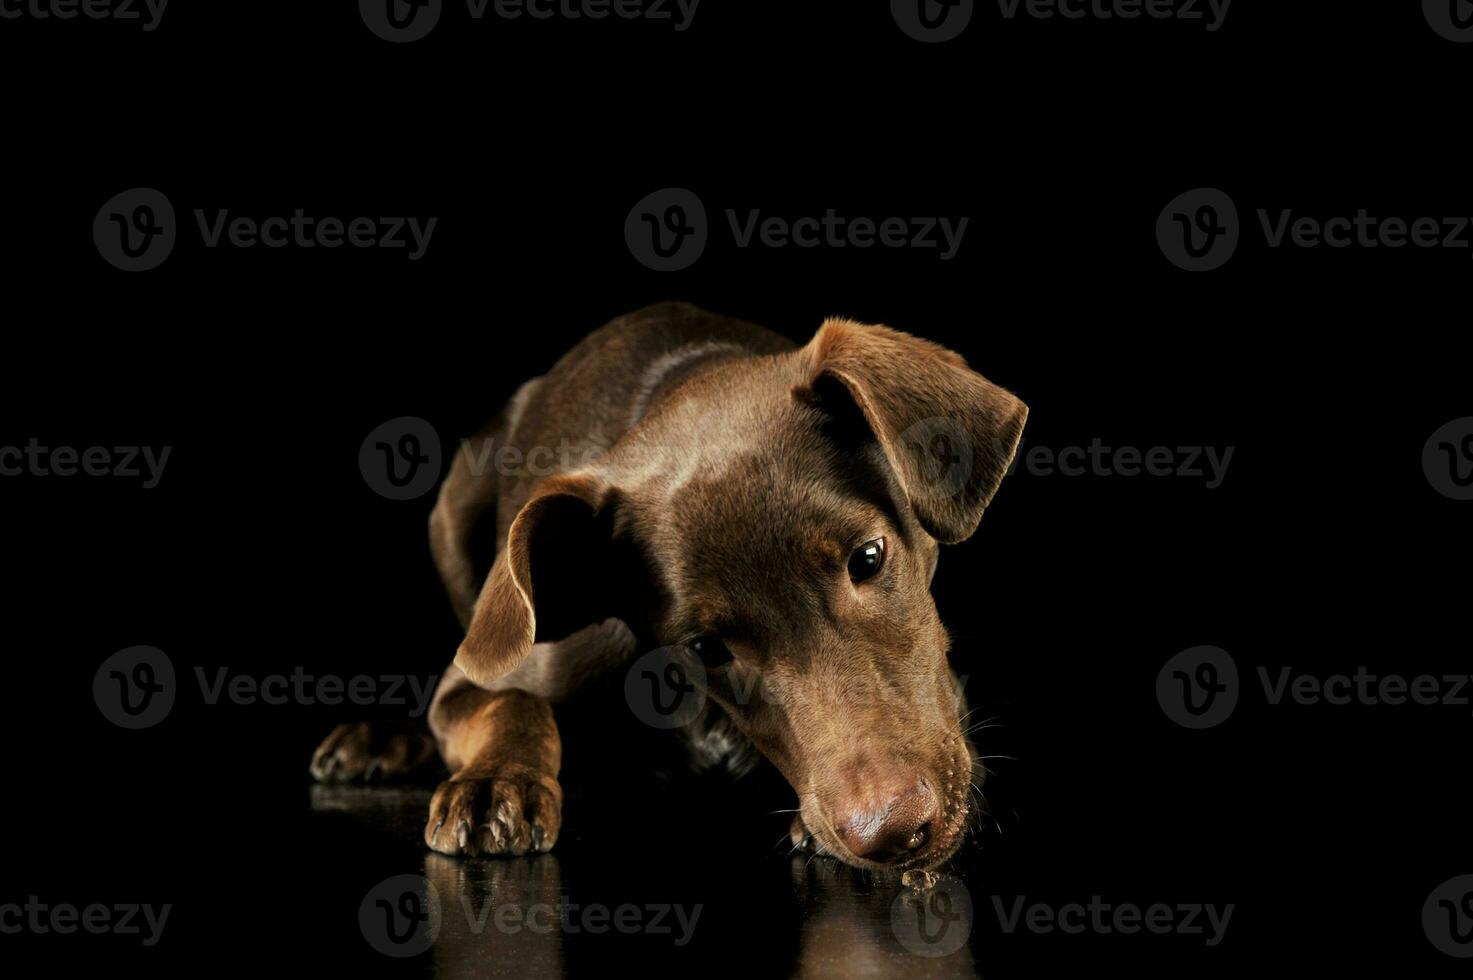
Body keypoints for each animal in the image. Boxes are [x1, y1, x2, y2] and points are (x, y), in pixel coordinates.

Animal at [310, 303, 1025, 872]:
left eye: (869, 557)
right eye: (705, 648)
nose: (895, 832)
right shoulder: (477, 682)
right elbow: (512, 703)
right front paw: (496, 783)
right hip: (453, 507)